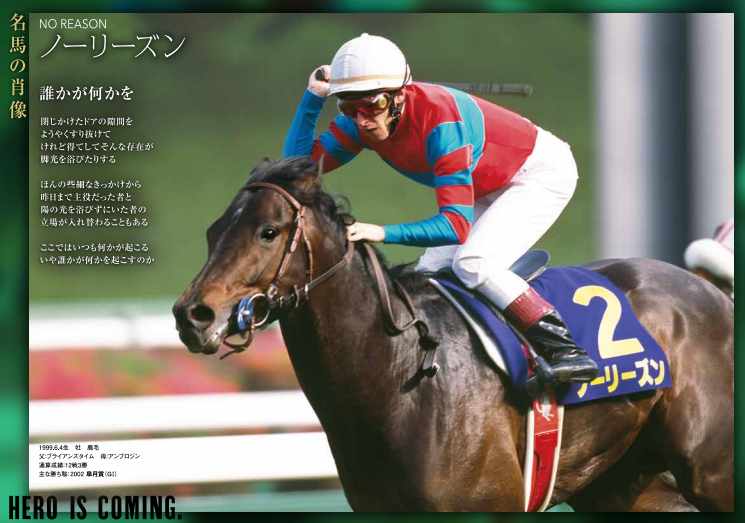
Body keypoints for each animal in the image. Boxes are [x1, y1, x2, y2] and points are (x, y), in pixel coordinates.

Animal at [173, 157, 734, 512]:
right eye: (212, 231)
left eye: (267, 232)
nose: (192, 315)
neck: (400, 375)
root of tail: (708, 288)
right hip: (623, 484)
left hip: (713, 471)